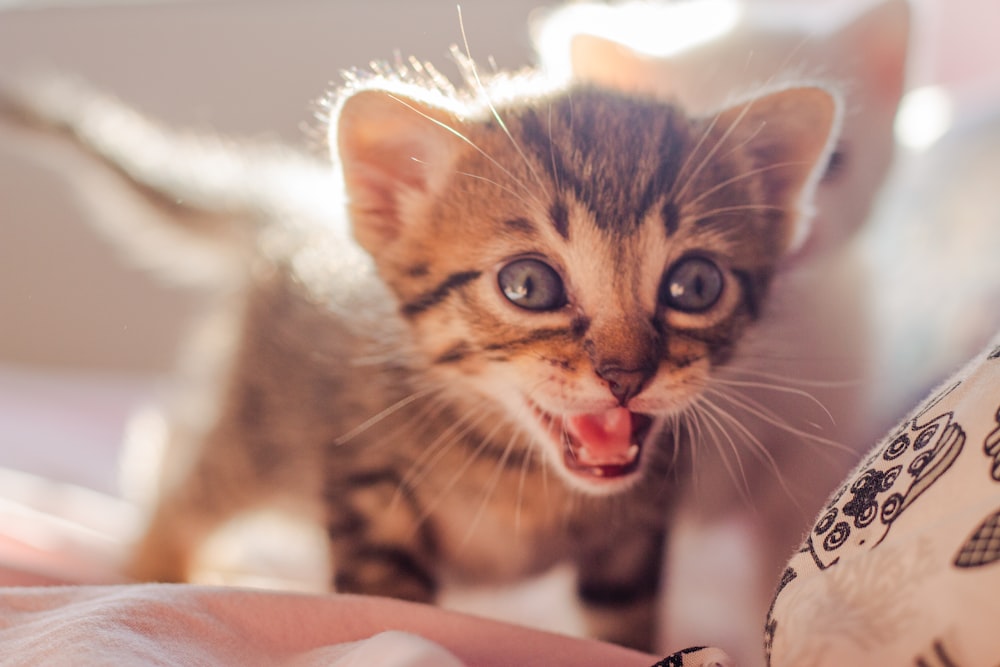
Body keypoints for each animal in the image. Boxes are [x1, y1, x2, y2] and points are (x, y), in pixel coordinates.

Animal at [1, 64, 836, 652]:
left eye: (695, 284)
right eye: (528, 285)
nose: (626, 375)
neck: (524, 475)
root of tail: (291, 201)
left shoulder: (636, 533)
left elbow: (625, 626)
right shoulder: (368, 489)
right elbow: (389, 607)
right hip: (264, 425)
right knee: (189, 478)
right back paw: (158, 563)